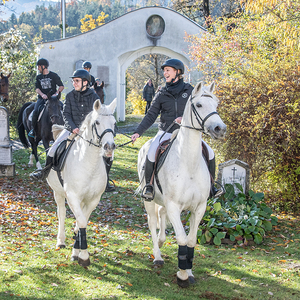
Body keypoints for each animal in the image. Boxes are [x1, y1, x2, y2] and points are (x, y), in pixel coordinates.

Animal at [47, 98, 117, 268]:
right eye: (97, 122)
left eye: (114, 123)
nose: (109, 147)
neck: (88, 164)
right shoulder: (73, 196)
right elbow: (81, 221)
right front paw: (83, 255)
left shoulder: (93, 199)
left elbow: (82, 221)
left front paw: (77, 250)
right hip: (58, 193)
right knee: (62, 213)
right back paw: (61, 241)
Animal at [137, 82, 226, 288]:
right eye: (199, 105)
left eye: (216, 103)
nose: (220, 128)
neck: (188, 162)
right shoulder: (174, 206)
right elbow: (182, 239)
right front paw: (182, 275)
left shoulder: (199, 207)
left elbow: (191, 240)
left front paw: (189, 272)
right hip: (149, 200)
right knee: (152, 222)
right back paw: (158, 256)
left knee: (161, 216)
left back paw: (161, 242)